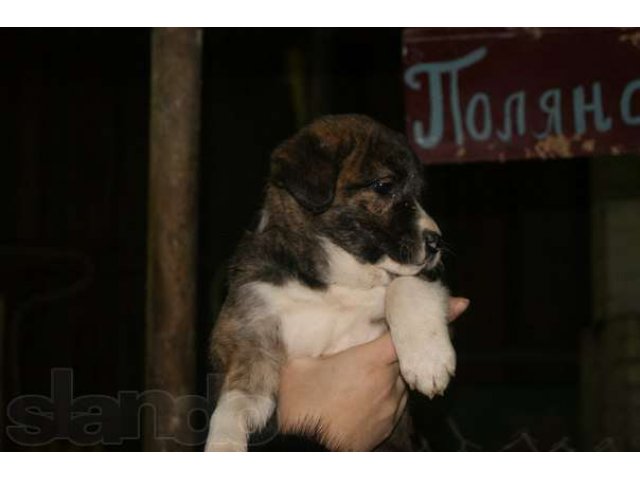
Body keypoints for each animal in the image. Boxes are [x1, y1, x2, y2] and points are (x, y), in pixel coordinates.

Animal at [206, 114, 456, 452]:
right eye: (384, 186)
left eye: (419, 192)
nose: (436, 242)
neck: (333, 282)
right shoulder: (250, 331)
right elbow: (236, 400)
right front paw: (223, 443)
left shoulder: (423, 276)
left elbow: (405, 285)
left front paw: (427, 360)